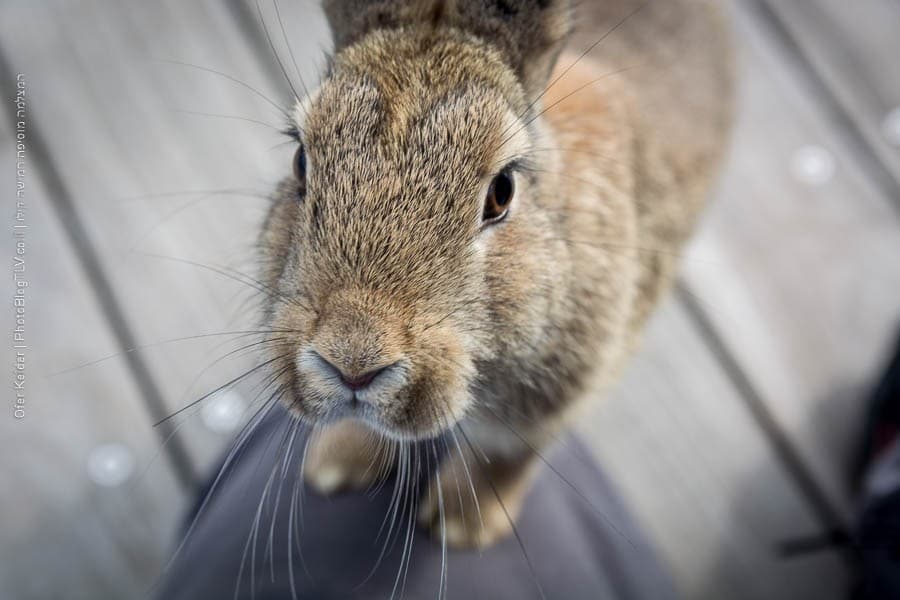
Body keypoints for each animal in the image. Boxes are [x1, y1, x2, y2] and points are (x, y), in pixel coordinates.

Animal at [256, 0, 736, 548]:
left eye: (501, 192)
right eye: (300, 160)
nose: (353, 364)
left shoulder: (559, 395)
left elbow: (508, 455)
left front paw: (461, 525)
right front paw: (335, 463)